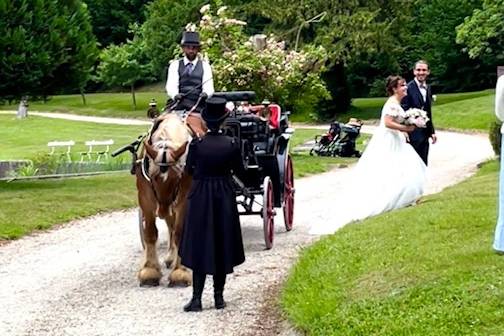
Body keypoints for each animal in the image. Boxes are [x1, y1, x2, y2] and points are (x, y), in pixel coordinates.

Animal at [136, 112, 207, 286]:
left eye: (177, 178)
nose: (161, 211)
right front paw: (150, 270)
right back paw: (169, 257)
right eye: (153, 177)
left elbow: (180, 232)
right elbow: (150, 232)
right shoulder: (146, 197)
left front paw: (180, 271)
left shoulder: (184, 198)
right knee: (170, 225)